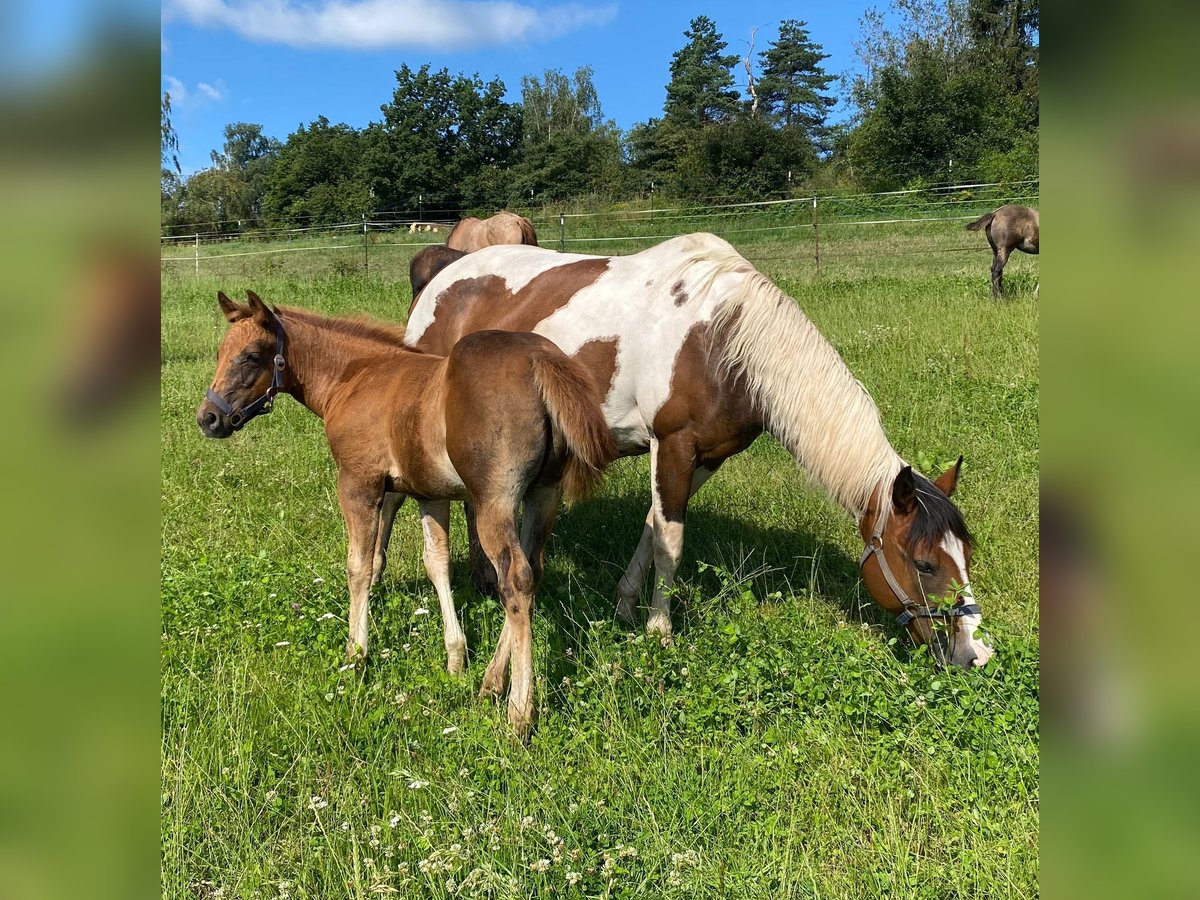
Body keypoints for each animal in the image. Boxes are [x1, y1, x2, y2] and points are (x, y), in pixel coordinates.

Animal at [198, 292, 619, 734]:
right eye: (221, 353)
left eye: (250, 356)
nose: (208, 418)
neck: (353, 376)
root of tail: (540, 360)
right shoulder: (428, 493)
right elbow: (436, 563)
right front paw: (455, 657)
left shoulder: (358, 483)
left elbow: (359, 566)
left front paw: (356, 653)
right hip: (544, 494)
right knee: (533, 571)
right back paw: (490, 681)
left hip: (495, 501)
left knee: (515, 578)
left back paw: (519, 712)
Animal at [403, 232, 993, 672]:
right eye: (924, 562)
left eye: (965, 554)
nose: (973, 653)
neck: (725, 339)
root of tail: (443, 278)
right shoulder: (674, 446)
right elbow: (673, 542)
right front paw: (660, 630)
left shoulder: (706, 457)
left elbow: (653, 526)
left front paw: (626, 604)